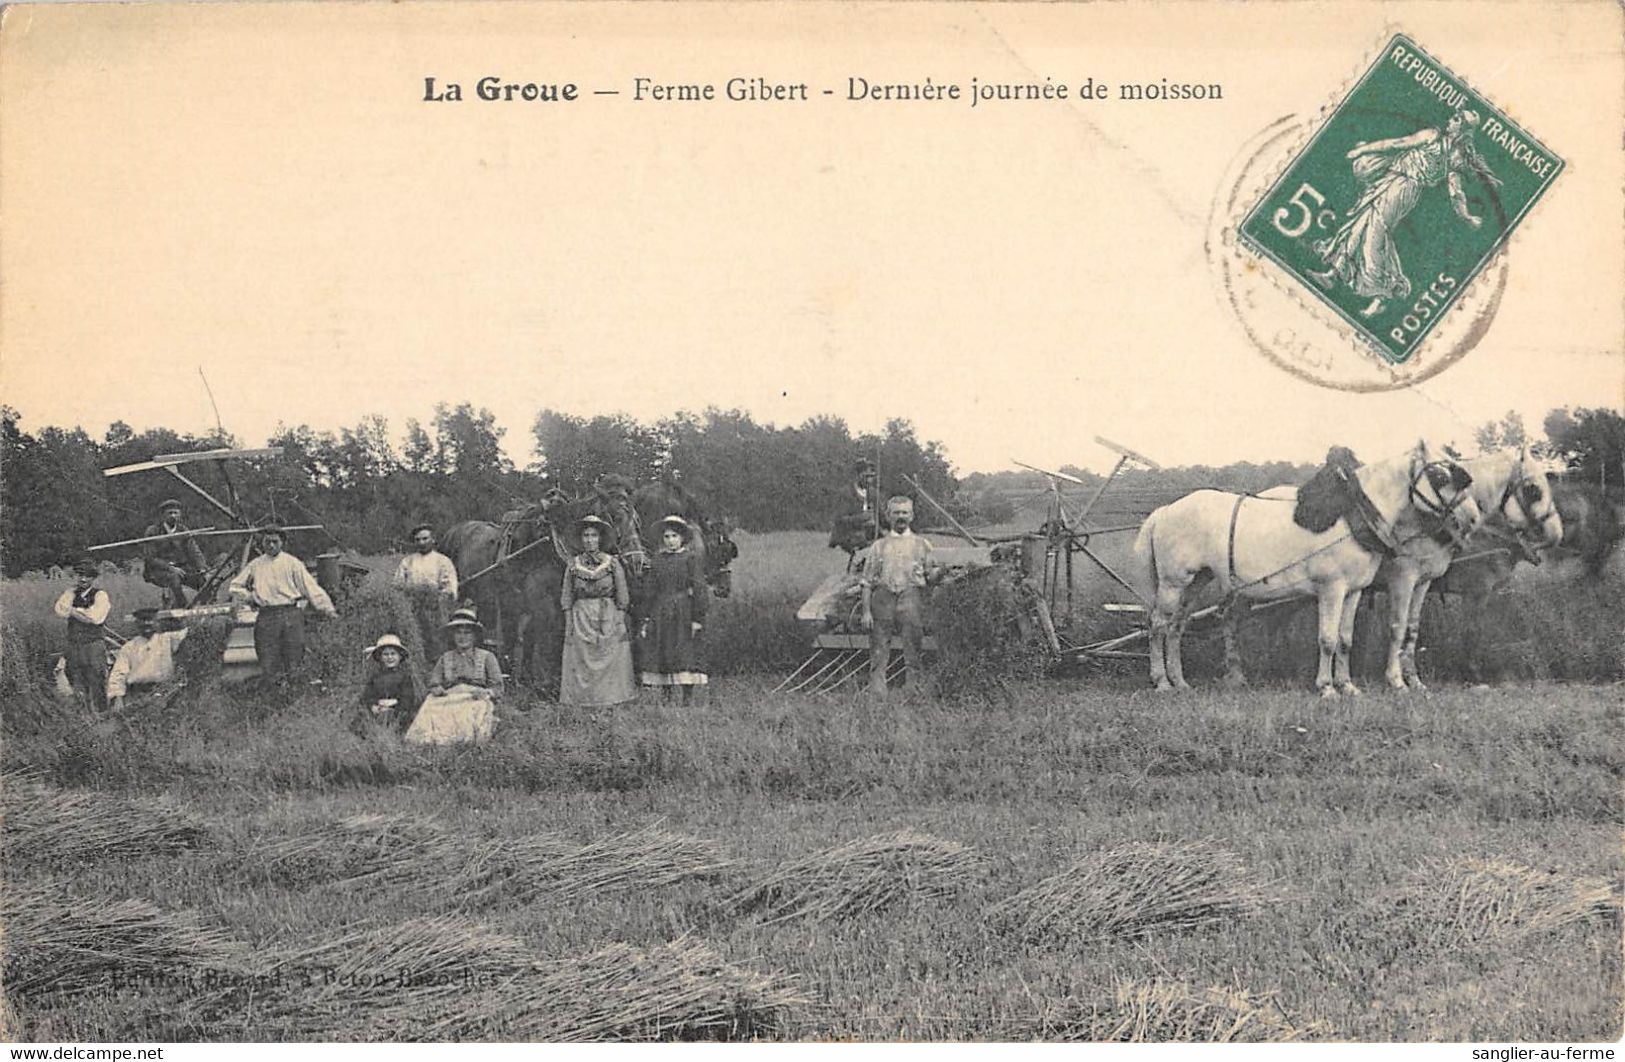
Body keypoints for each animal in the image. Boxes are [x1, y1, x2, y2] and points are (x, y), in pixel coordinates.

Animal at [448, 483, 650, 691]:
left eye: (637, 521)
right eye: (616, 517)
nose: (639, 562)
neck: (552, 547)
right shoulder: (543, 605)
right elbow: (547, 641)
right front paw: (546, 686)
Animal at [1137, 441, 1482, 698]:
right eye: (1440, 476)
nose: (1473, 517)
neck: (1352, 516)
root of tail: (1164, 511)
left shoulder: (1355, 590)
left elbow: (1346, 639)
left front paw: (1348, 686)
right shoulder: (1335, 587)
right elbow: (1328, 638)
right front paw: (1327, 687)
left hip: (1197, 580)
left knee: (1177, 625)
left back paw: (1181, 681)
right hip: (1173, 582)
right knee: (1158, 625)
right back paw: (1162, 681)